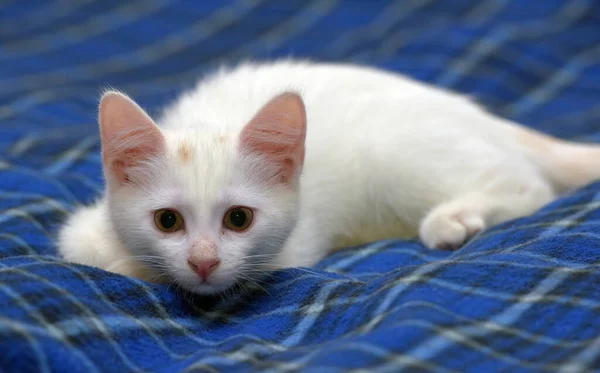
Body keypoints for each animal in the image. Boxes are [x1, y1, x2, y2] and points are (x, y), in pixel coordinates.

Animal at [58, 60, 600, 294]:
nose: (204, 262)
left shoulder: (296, 246)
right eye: (167, 221)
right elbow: (90, 253)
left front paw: (139, 267)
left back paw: (454, 219)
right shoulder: (77, 234)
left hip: (395, 152)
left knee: (529, 187)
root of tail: (488, 120)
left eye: (239, 219)